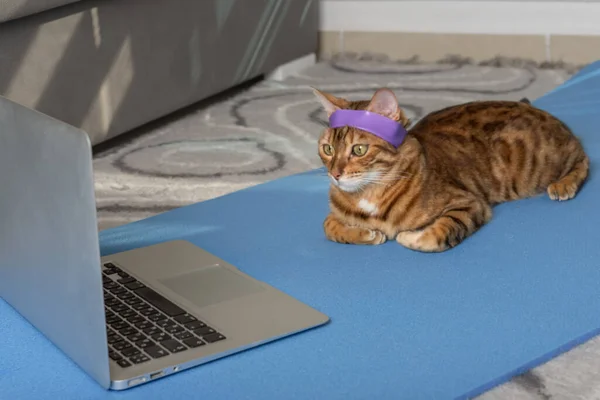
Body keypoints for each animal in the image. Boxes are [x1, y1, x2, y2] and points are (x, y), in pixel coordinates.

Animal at [314, 87, 592, 252]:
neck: (369, 194)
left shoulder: (469, 204)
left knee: (583, 158)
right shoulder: (333, 214)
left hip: (540, 163)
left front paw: (406, 236)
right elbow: (328, 227)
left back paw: (563, 184)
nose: (335, 174)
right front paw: (367, 234)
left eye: (359, 149)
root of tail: (535, 107)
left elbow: (436, 235)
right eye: (327, 149)